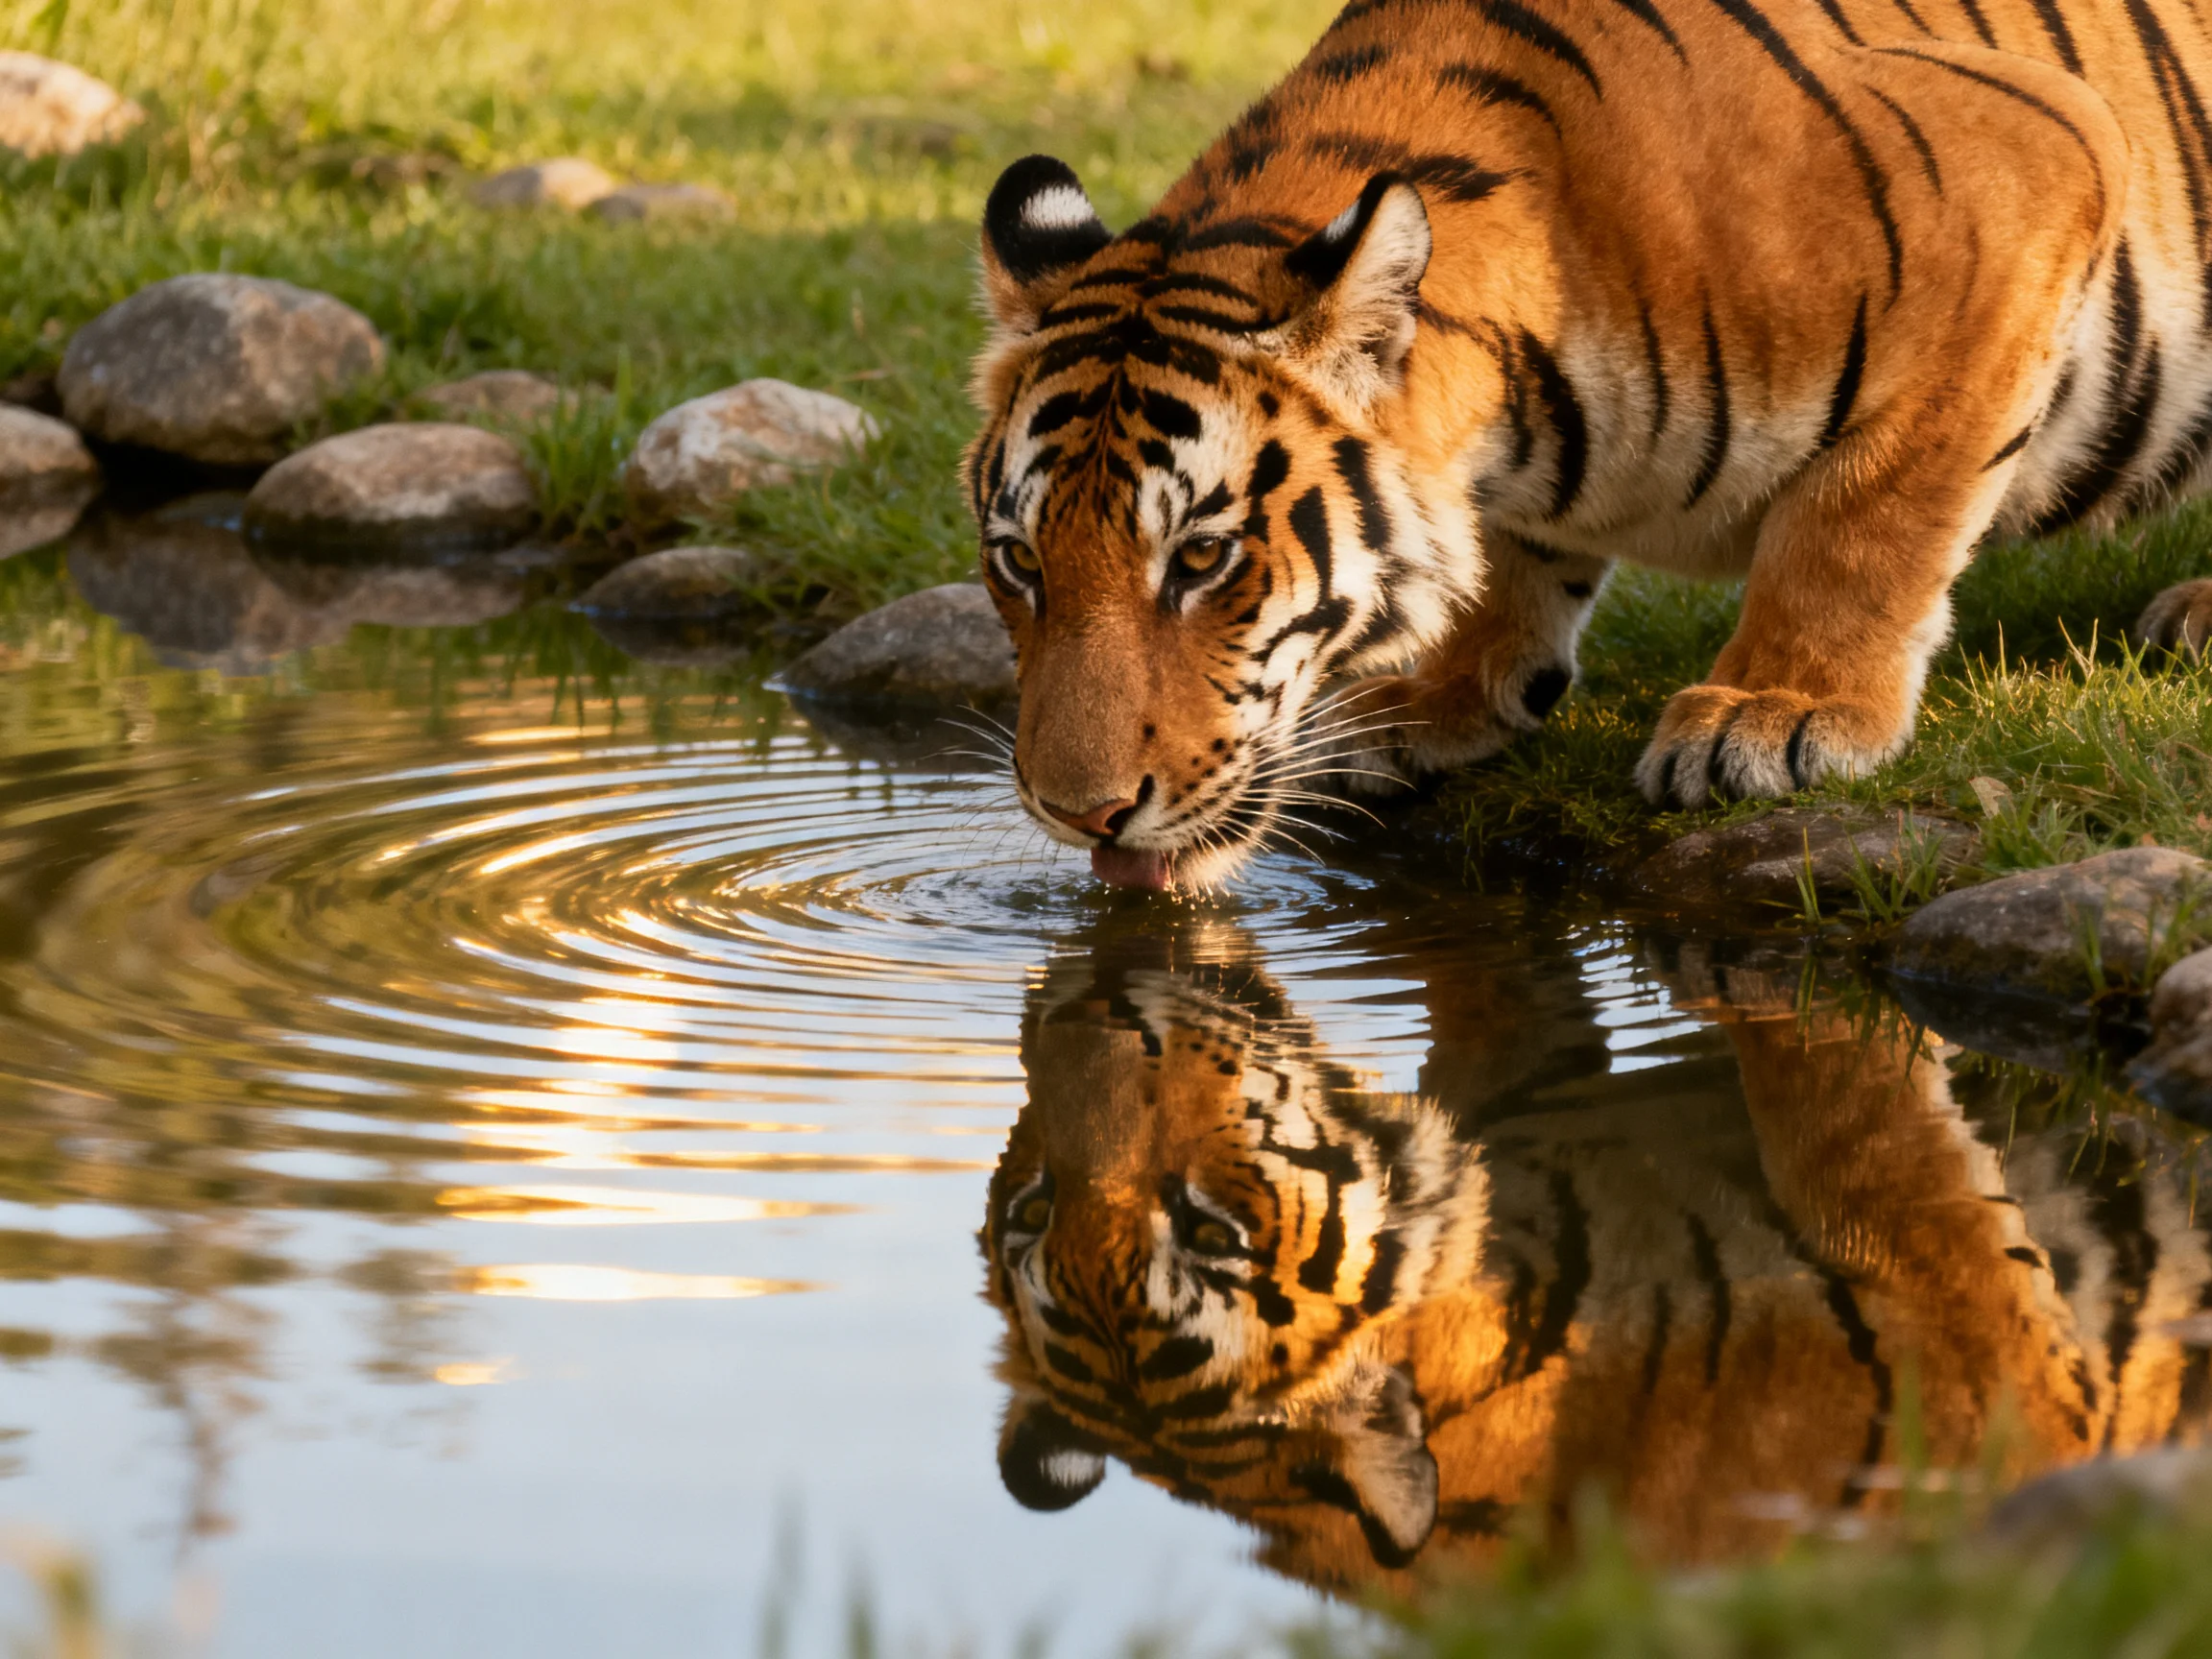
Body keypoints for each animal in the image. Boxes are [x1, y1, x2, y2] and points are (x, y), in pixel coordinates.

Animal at [964, 0, 2212, 890]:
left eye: (1201, 559)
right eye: (1021, 562)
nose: (1079, 812)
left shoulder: (2039, 159)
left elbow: (1865, 515)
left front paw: (1780, 711)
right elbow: (1512, 564)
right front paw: (1440, 694)